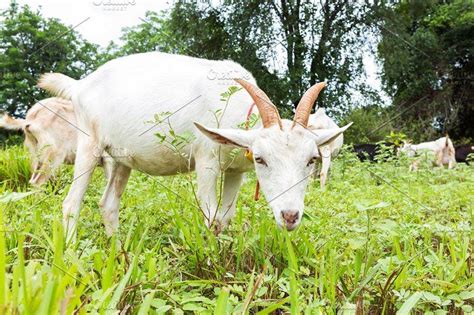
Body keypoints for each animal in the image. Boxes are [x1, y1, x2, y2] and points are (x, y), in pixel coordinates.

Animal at [38, 51, 352, 239]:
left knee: (108, 204)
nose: (290, 216)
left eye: (311, 159)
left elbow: (225, 217)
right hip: (88, 142)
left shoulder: (236, 170)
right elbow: (211, 215)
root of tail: (80, 86)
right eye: (261, 159)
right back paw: (72, 254)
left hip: (122, 158)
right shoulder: (207, 160)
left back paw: (118, 250)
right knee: (71, 203)